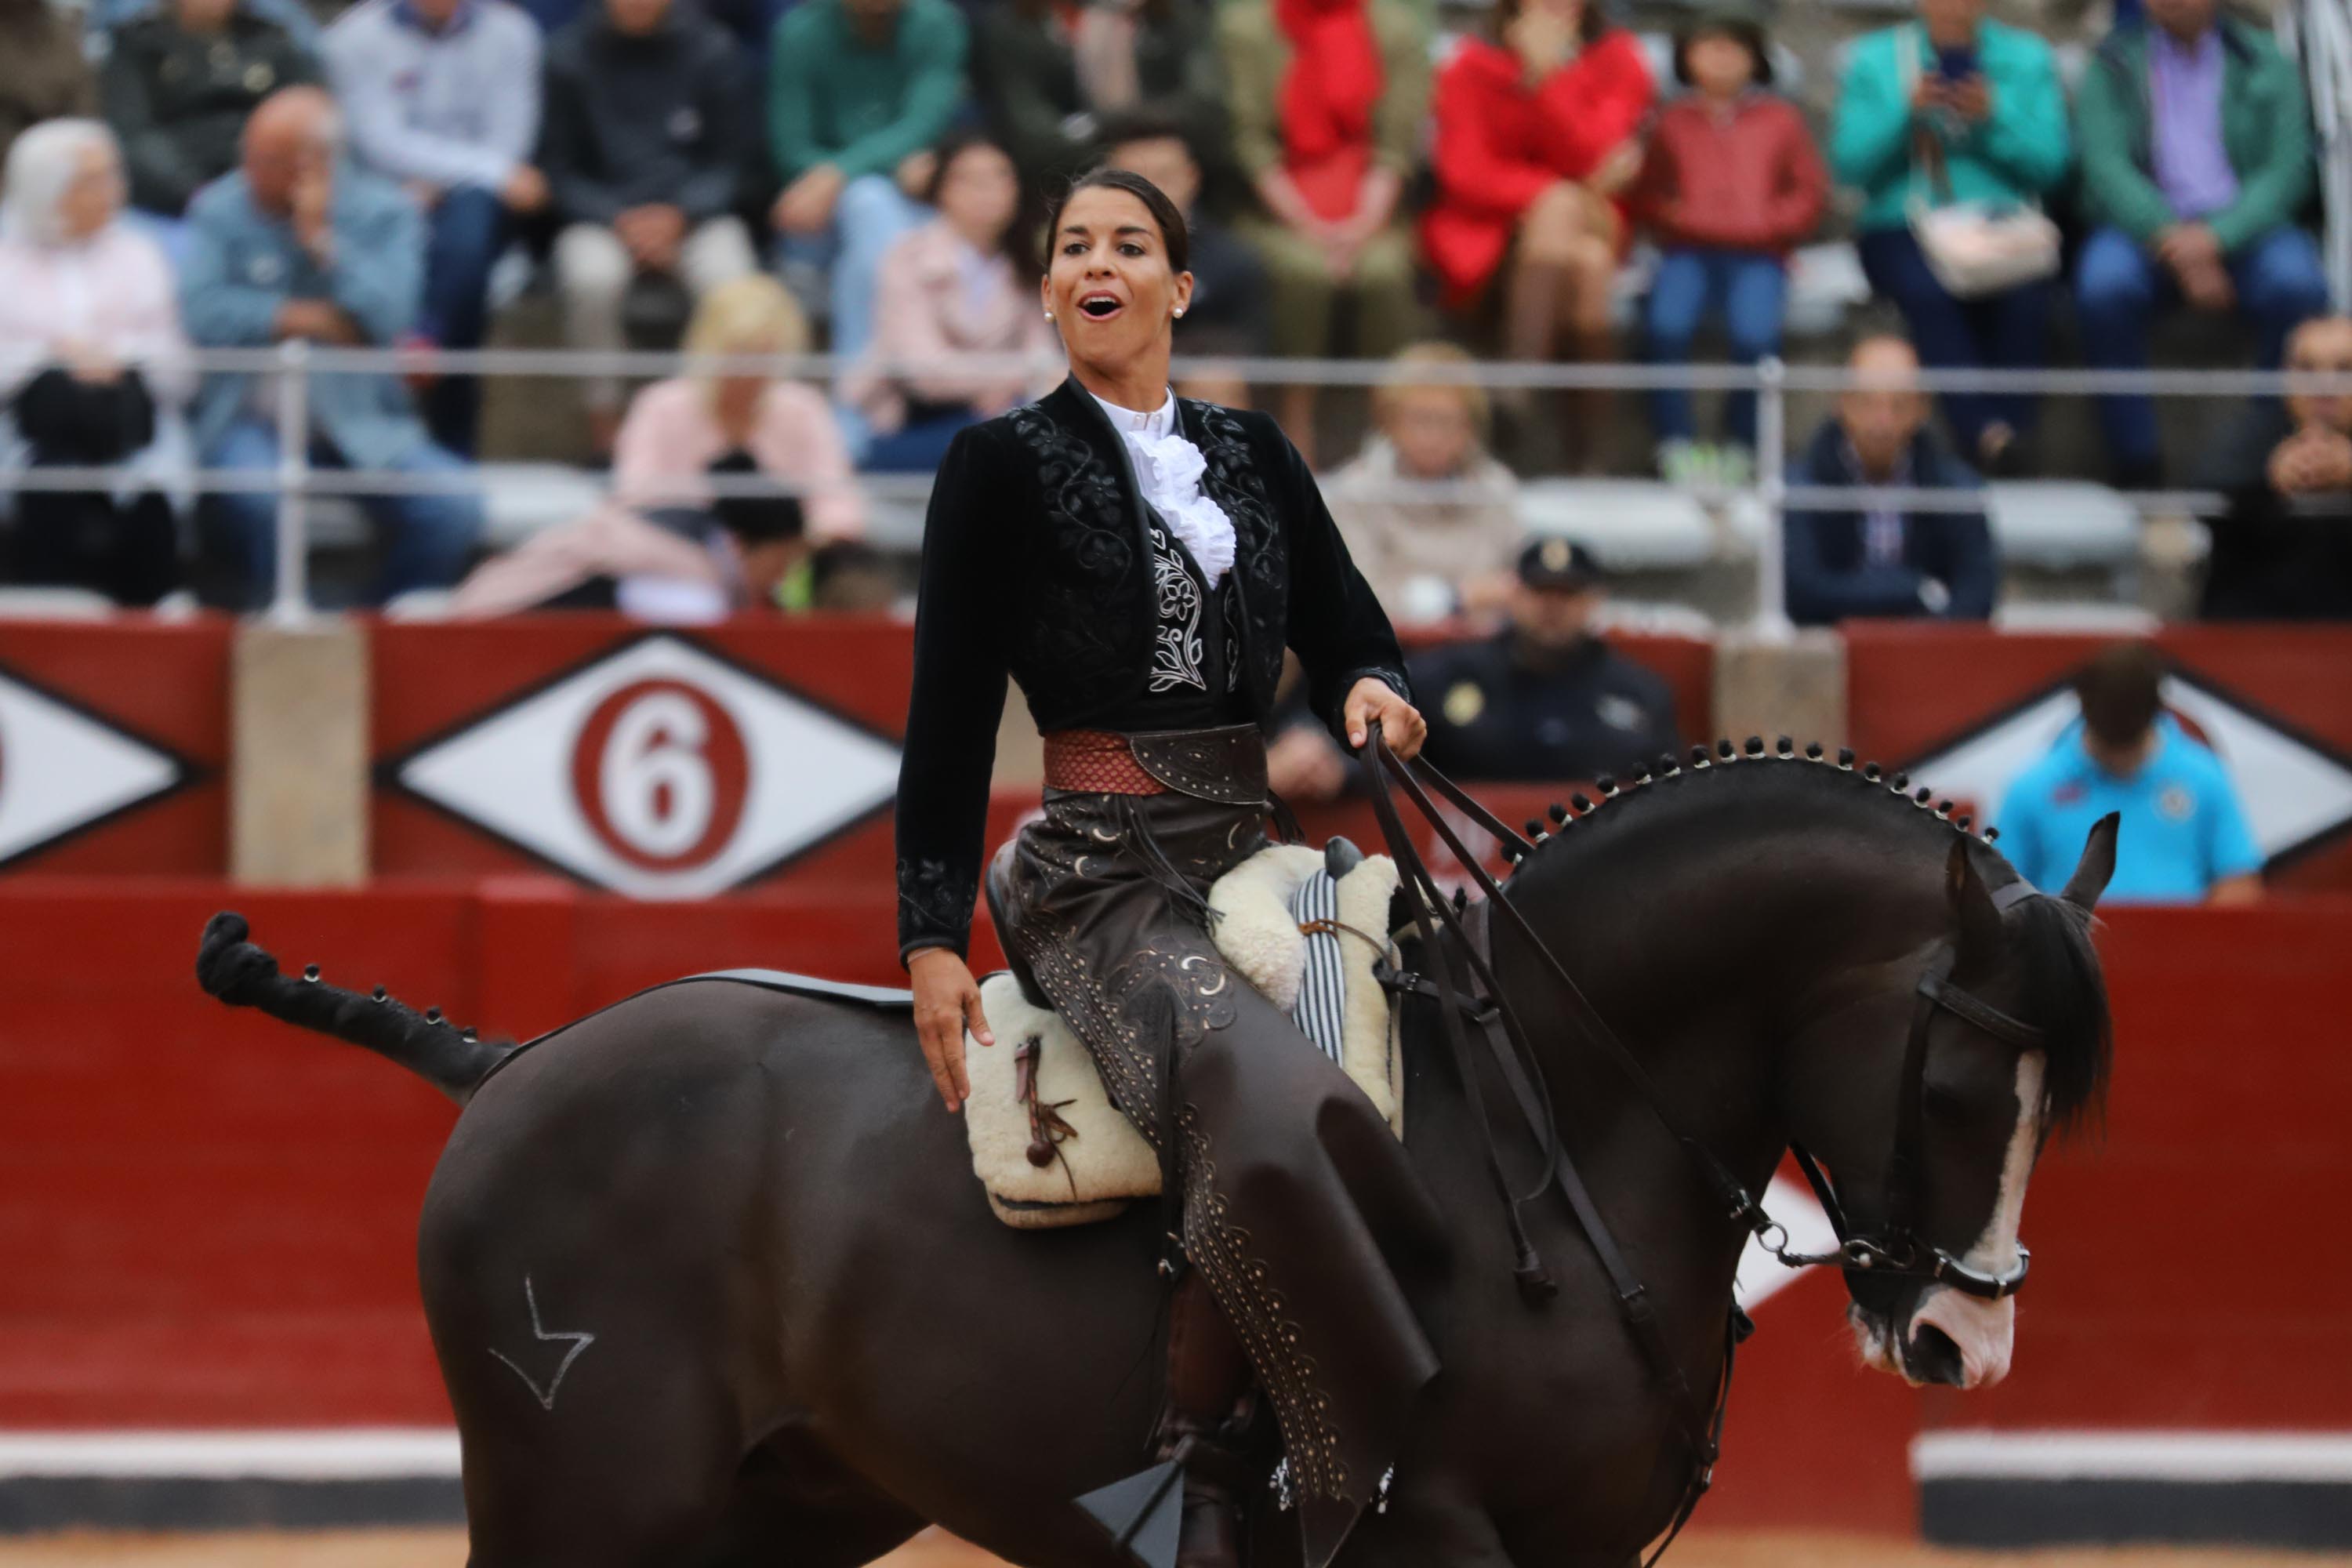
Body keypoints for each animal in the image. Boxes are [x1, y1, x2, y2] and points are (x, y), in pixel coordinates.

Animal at [202, 747, 2117, 1568]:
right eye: (1962, 1085)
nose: (1967, 1341)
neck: (1552, 1119)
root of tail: (514, 1061)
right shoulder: (1436, 1533)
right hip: (577, 1494)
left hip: (784, 1507)